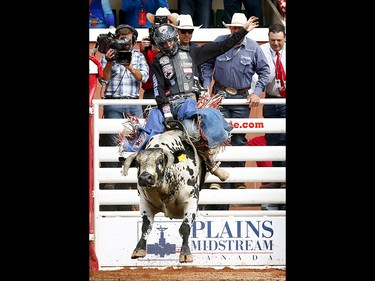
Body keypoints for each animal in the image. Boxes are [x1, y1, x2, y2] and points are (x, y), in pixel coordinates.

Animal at [122, 128, 207, 262]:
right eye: (137, 163)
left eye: (160, 160)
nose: (145, 178)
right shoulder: (145, 203)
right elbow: (146, 226)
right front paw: (139, 249)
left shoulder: (192, 201)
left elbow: (185, 228)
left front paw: (185, 253)